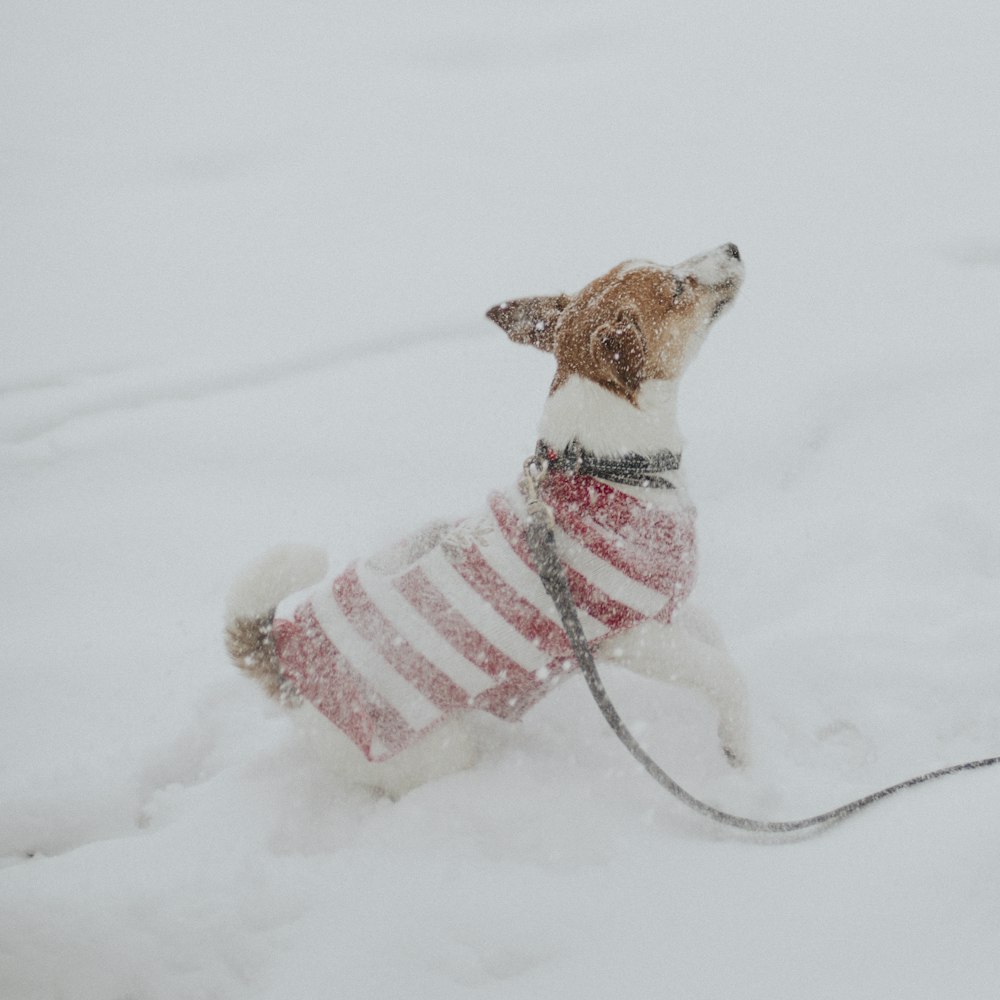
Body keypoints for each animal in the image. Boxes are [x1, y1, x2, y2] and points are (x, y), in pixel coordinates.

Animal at [223, 244, 748, 796]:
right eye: (677, 288)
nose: (732, 247)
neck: (606, 465)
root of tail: (285, 662)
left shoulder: (665, 610)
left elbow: (712, 635)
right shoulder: (635, 640)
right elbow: (724, 675)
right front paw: (741, 752)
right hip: (433, 749)